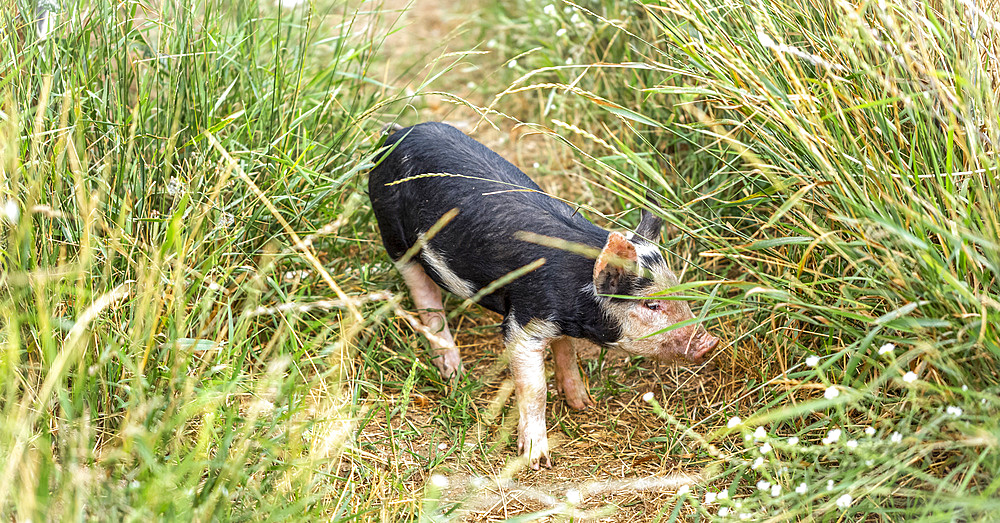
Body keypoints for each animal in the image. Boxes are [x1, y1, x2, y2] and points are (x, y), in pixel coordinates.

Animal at [368, 123, 720, 470]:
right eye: (652, 304)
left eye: (678, 291)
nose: (709, 342)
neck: (576, 300)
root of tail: (395, 133)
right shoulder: (523, 324)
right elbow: (535, 388)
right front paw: (537, 459)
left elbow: (567, 353)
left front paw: (584, 404)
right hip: (394, 239)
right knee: (425, 296)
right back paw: (453, 373)